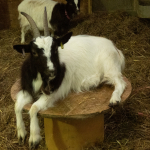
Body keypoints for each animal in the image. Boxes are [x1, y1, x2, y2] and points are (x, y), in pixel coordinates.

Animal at [12, 8, 125, 149]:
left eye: (55, 49)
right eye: (34, 52)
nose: (52, 71)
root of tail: (115, 48)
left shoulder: (54, 93)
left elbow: (33, 108)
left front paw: (34, 139)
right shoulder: (27, 89)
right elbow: (17, 106)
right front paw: (21, 134)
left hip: (109, 67)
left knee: (120, 83)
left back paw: (114, 100)